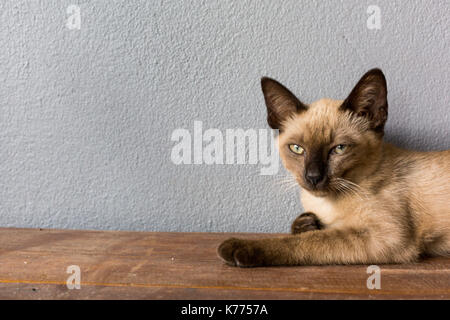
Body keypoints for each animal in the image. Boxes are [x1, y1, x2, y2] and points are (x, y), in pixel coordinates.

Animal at [218, 68, 450, 268]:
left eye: (339, 149)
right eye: (297, 149)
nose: (313, 177)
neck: (327, 204)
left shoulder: (386, 238)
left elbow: (308, 241)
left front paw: (236, 247)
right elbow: (304, 230)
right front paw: (307, 224)